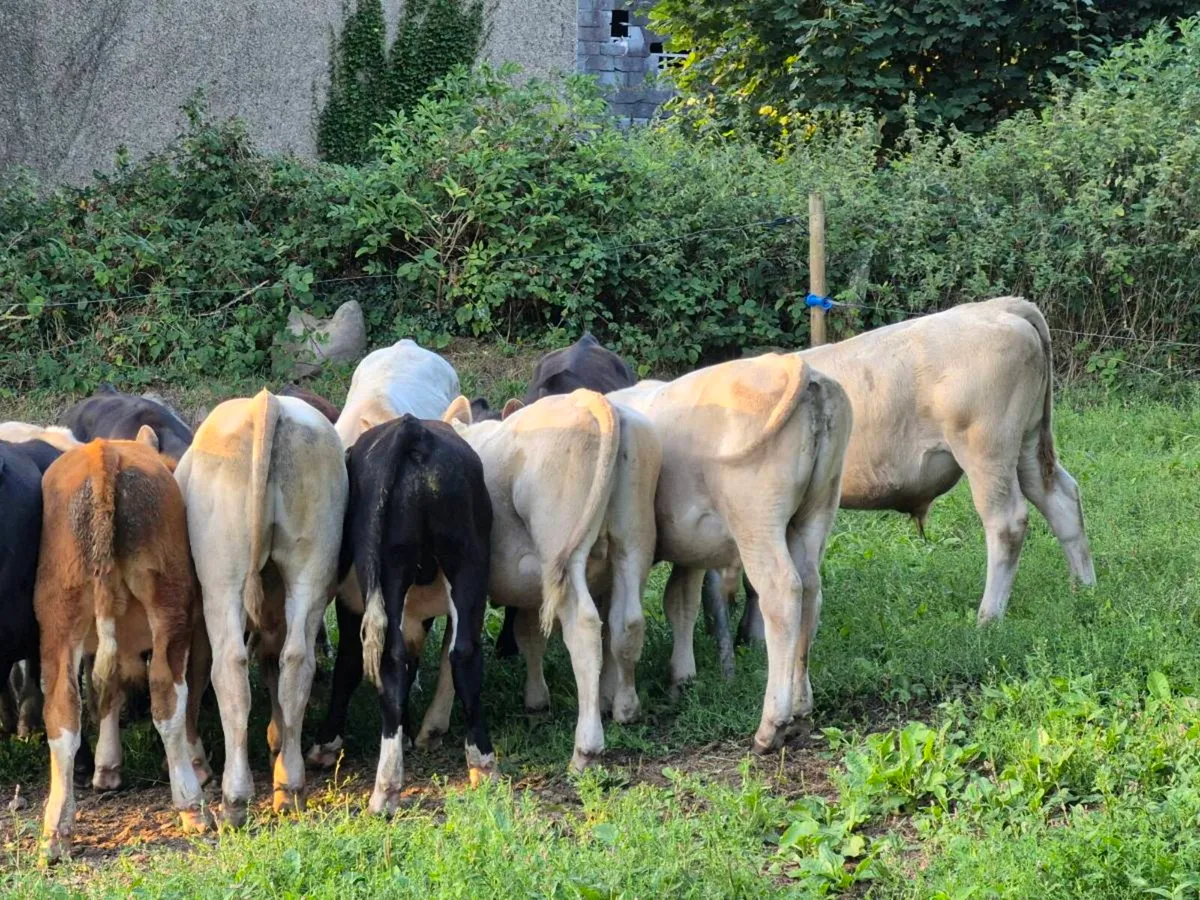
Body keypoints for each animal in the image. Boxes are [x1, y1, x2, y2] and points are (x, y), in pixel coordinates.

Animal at [35, 430, 210, 862]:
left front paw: (106, 767)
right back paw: (192, 804)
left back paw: (56, 831)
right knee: (167, 696)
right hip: (171, 605)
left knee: (63, 710)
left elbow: (106, 691)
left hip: (58, 616)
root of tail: (105, 453)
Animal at [175, 390, 347, 826]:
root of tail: (266, 403)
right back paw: (290, 785)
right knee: (297, 661)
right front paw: (276, 741)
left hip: (223, 578)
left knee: (229, 669)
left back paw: (235, 798)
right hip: (311, 567)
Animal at [343, 415, 495, 813]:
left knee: (394, 661)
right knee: (463, 653)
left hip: (391, 567)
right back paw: (482, 765)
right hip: (467, 557)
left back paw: (387, 788)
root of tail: (414, 429)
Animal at [609, 354, 852, 753]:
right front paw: (681, 678)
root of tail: (791, 364)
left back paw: (772, 724)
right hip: (817, 511)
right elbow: (680, 602)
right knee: (811, 591)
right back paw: (801, 708)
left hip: (756, 520)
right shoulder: (689, 548)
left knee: (783, 594)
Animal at [724, 296, 1095, 637]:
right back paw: (1083, 589)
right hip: (1027, 443)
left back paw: (988, 617)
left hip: (988, 450)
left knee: (1007, 522)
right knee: (1061, 499)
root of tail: (997, 306)